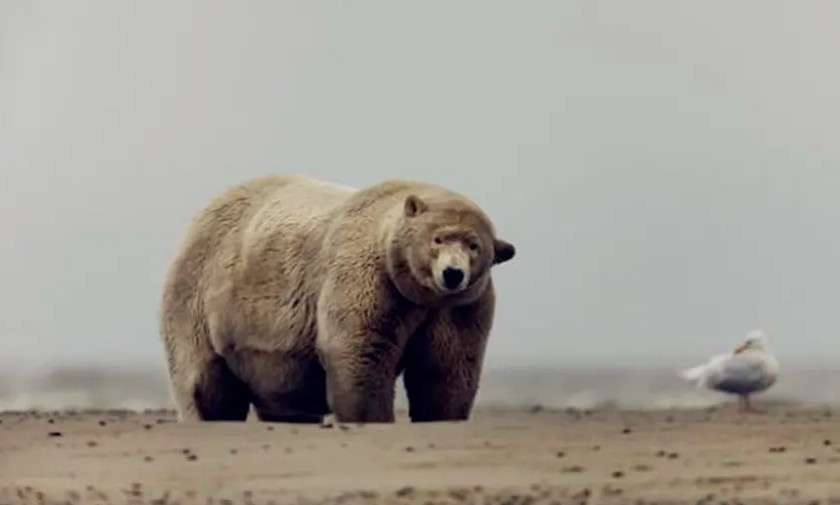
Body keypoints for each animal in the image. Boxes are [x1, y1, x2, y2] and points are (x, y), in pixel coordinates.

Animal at [156, 173, 512, 422]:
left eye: (474, 245)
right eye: (438, 239)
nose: (452, 274)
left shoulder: (459, 307)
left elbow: (448, 367)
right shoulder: (369, 279)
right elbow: (359, 352)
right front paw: (372, 416)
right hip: (202, 295)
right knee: (203, 381)